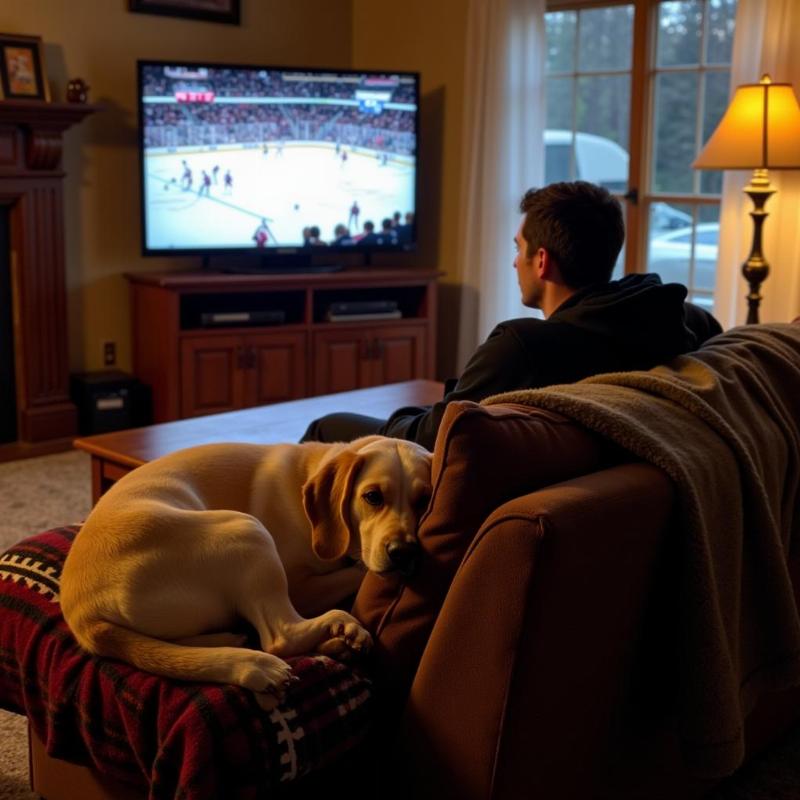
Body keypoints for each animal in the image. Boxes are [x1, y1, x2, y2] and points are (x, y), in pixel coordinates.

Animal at [61, 438, 432, 708]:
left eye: (425, 501)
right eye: (372, 497)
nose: (404, 552)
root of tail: (80, 611)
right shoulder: (301, 586)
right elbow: (359, 572)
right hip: (246, 529)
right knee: (281, 637)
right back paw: (340, 626)